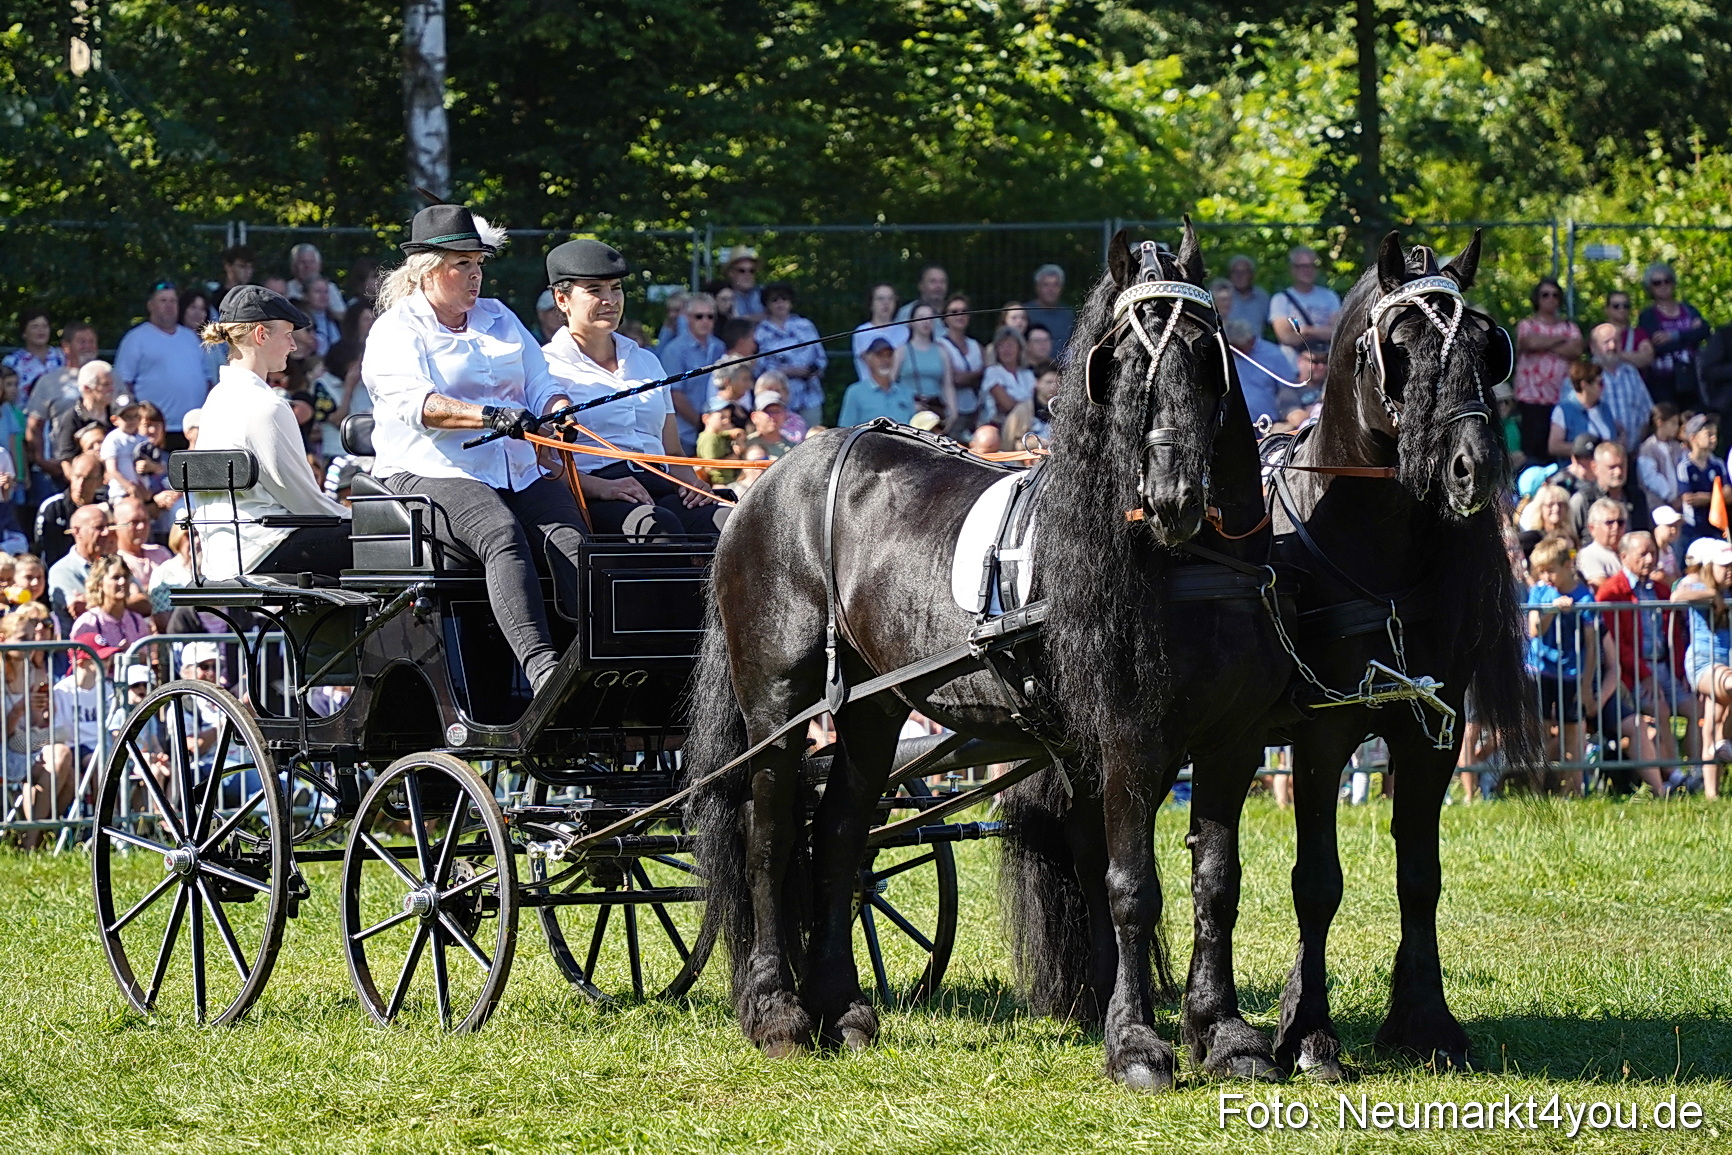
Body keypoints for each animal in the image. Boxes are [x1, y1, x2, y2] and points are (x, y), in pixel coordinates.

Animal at [686, 222, 1288, 1089]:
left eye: (1208, 354)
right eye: (1121, 362)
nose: (1173, 497)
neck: (1191, 567)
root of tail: (762, 487)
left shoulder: (1232, 743)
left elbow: (1216, 883)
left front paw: (1229, 1035)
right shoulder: (1129, 740)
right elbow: (1131, 886)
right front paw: (1138, 1044)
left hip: (868, 708)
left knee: (838, 837)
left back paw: (846, 1010)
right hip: (776, 703)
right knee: (768, 841)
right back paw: (778, 1012)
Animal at [1253, 232, 1540, 1079]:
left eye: (1487, 345)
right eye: (1400, 347)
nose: (1473, 467)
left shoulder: (1430, 726)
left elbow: (1420, 875)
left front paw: (1425, 1021)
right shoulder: (1319, 732)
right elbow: (1317, 881)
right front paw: (1310, 1033)